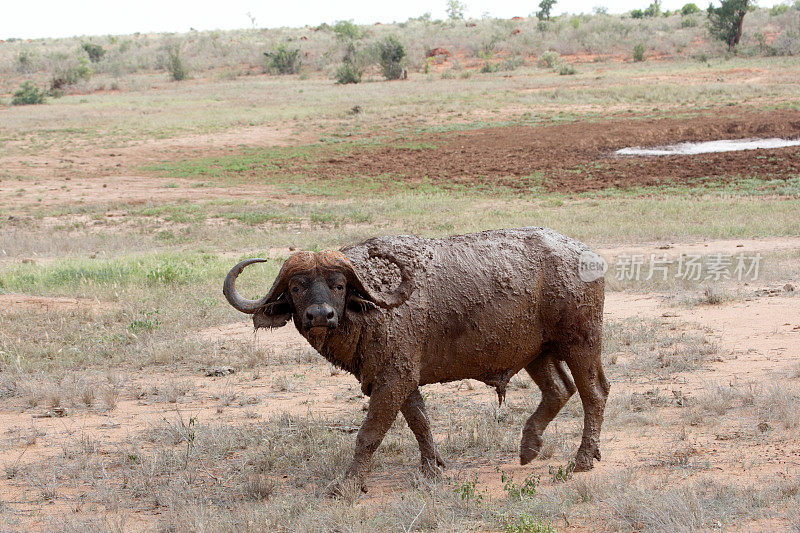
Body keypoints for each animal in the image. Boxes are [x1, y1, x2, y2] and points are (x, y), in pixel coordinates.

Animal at [222, 228, 608, 490]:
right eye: (297, 287)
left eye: (338, 285)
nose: (320, 315)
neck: (375, 310)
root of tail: (588, 256)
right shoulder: (398, 379)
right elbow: (420, 422)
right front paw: (431, 467)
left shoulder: (395, 378)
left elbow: (369, 433)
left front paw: (348, 484)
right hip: (536, 352)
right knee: (559, 389)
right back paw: (528, 448)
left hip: (581, 342)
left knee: (594, 393)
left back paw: (582, 459)